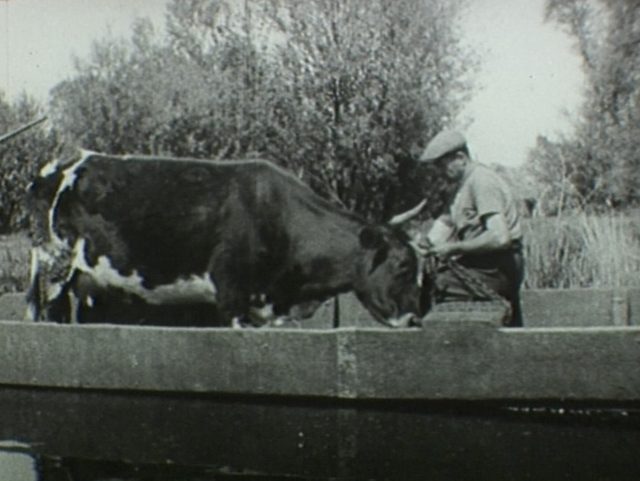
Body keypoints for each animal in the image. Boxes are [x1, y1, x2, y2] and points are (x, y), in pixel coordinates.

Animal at [26, 154, 424, 326]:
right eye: (403, 265)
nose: (414, 319)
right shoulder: (232, 295)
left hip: (88, 280)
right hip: (55, 258)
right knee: (43, 303)